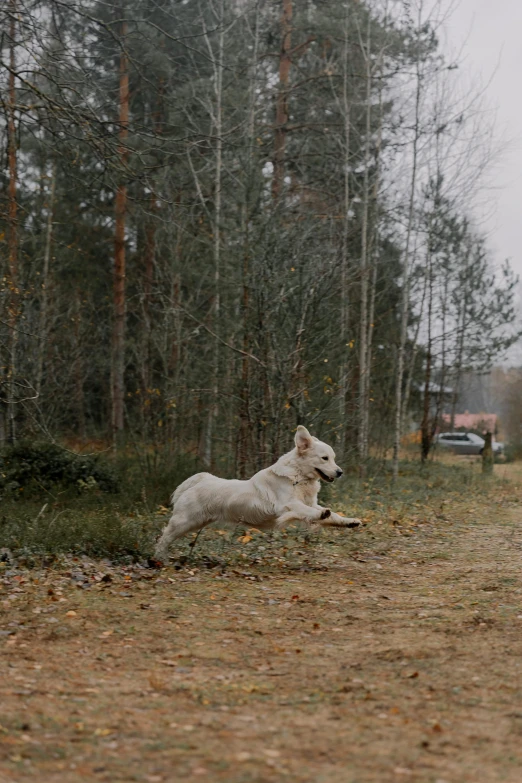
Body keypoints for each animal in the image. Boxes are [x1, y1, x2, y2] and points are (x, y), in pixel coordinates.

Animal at [152, 426, 360, 560]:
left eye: (333, 458)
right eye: (324, 458)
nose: (340, 472)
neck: (298, 477)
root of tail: (200, 480)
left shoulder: (310, 502)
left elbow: (333, 515)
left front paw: (349, 521)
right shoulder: (288, 505)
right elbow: (310, 512)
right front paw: (322, 514)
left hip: (195, 522)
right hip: (184, 521)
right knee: (163, 537)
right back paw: (159, 558)